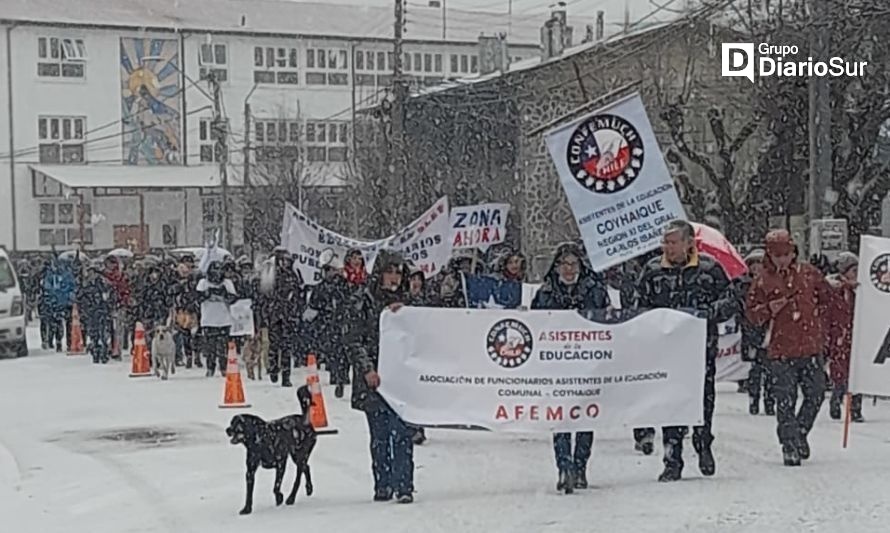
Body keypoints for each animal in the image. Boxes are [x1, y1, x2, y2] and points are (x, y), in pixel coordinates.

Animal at [224, 384, 318, 512]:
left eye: (239, 423)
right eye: (231, 422)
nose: (227, 430)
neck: (260, 440)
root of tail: (305, 421)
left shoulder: (281, 464)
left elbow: (276, 487)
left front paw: (279, 497)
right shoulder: (250, 471)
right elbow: (249, 492)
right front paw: (247, 509)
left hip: (299, 456)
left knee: (298, 477)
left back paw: (291, 498)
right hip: (297, 457)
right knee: (306, 467)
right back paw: (309, 488)